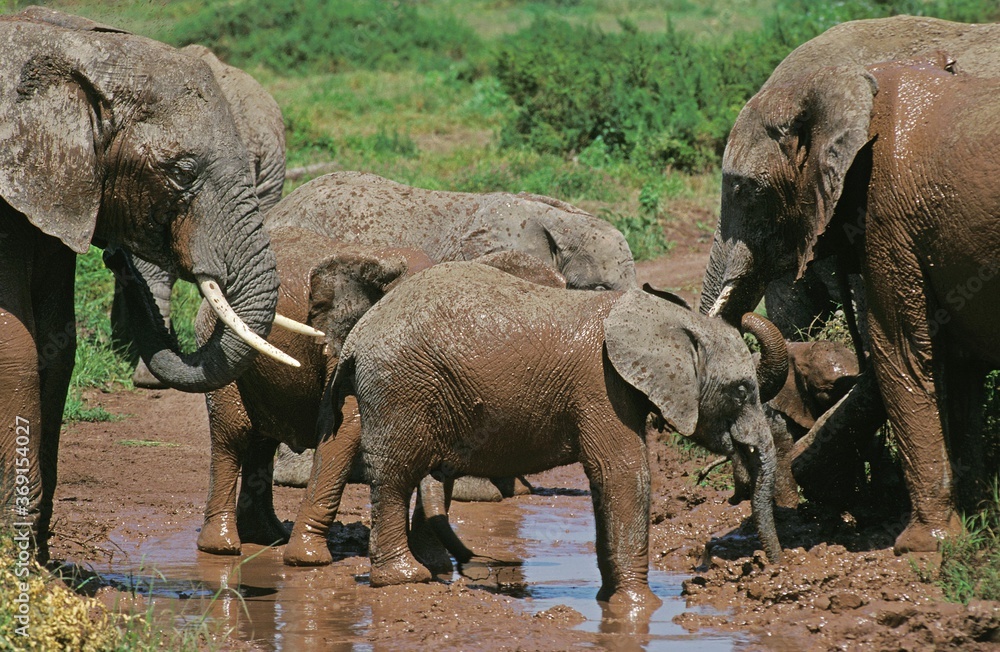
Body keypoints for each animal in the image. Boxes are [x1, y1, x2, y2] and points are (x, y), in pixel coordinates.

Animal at [0, 8, 300, 560]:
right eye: (182, 171)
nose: (116, 256)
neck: (69, 47)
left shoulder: (59, 188)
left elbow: (56, 344)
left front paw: (39, 559)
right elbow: (15, 346)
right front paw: (20, 558)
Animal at [284, 262, 788, 608]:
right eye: (741, 390)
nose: (773, 568)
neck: (659, 317)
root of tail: (357, 336)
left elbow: (608, 481)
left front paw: (610, 600)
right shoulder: (602, 384)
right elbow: (624, 474)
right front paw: (639, 607)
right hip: (401, 386)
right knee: (395, 475)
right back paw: (407, 579)